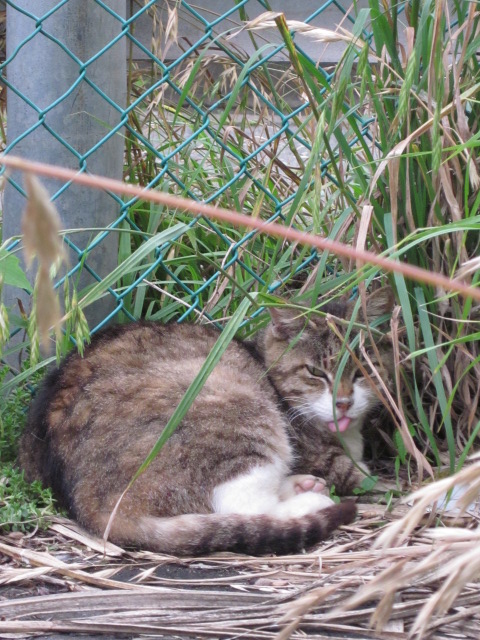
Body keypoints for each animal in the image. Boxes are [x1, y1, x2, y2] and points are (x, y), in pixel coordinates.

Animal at [17, 288, 394, 556]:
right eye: (316, 372)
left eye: (364, 370)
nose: (343, 403)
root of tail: (85, 502)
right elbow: (360, 476)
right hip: (236, 410)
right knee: (245, 504)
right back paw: (310, 500)